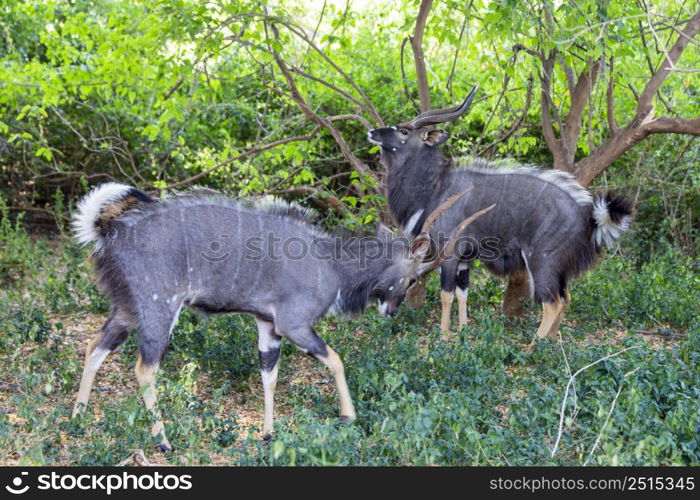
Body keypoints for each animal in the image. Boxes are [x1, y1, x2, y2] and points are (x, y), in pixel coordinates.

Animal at [69, 182, 486, 448]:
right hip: (159, 308)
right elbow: (336, 360)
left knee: (94, 347)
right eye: (413, 277)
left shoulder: (268, 325)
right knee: (144, 368)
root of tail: (109, 233)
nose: (392, 310)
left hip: (126, 311)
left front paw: (268, 434)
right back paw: (164, 442)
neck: (332, 266)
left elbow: (268, 375)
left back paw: (76, 420)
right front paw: (349, 417)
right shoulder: (294, 324)